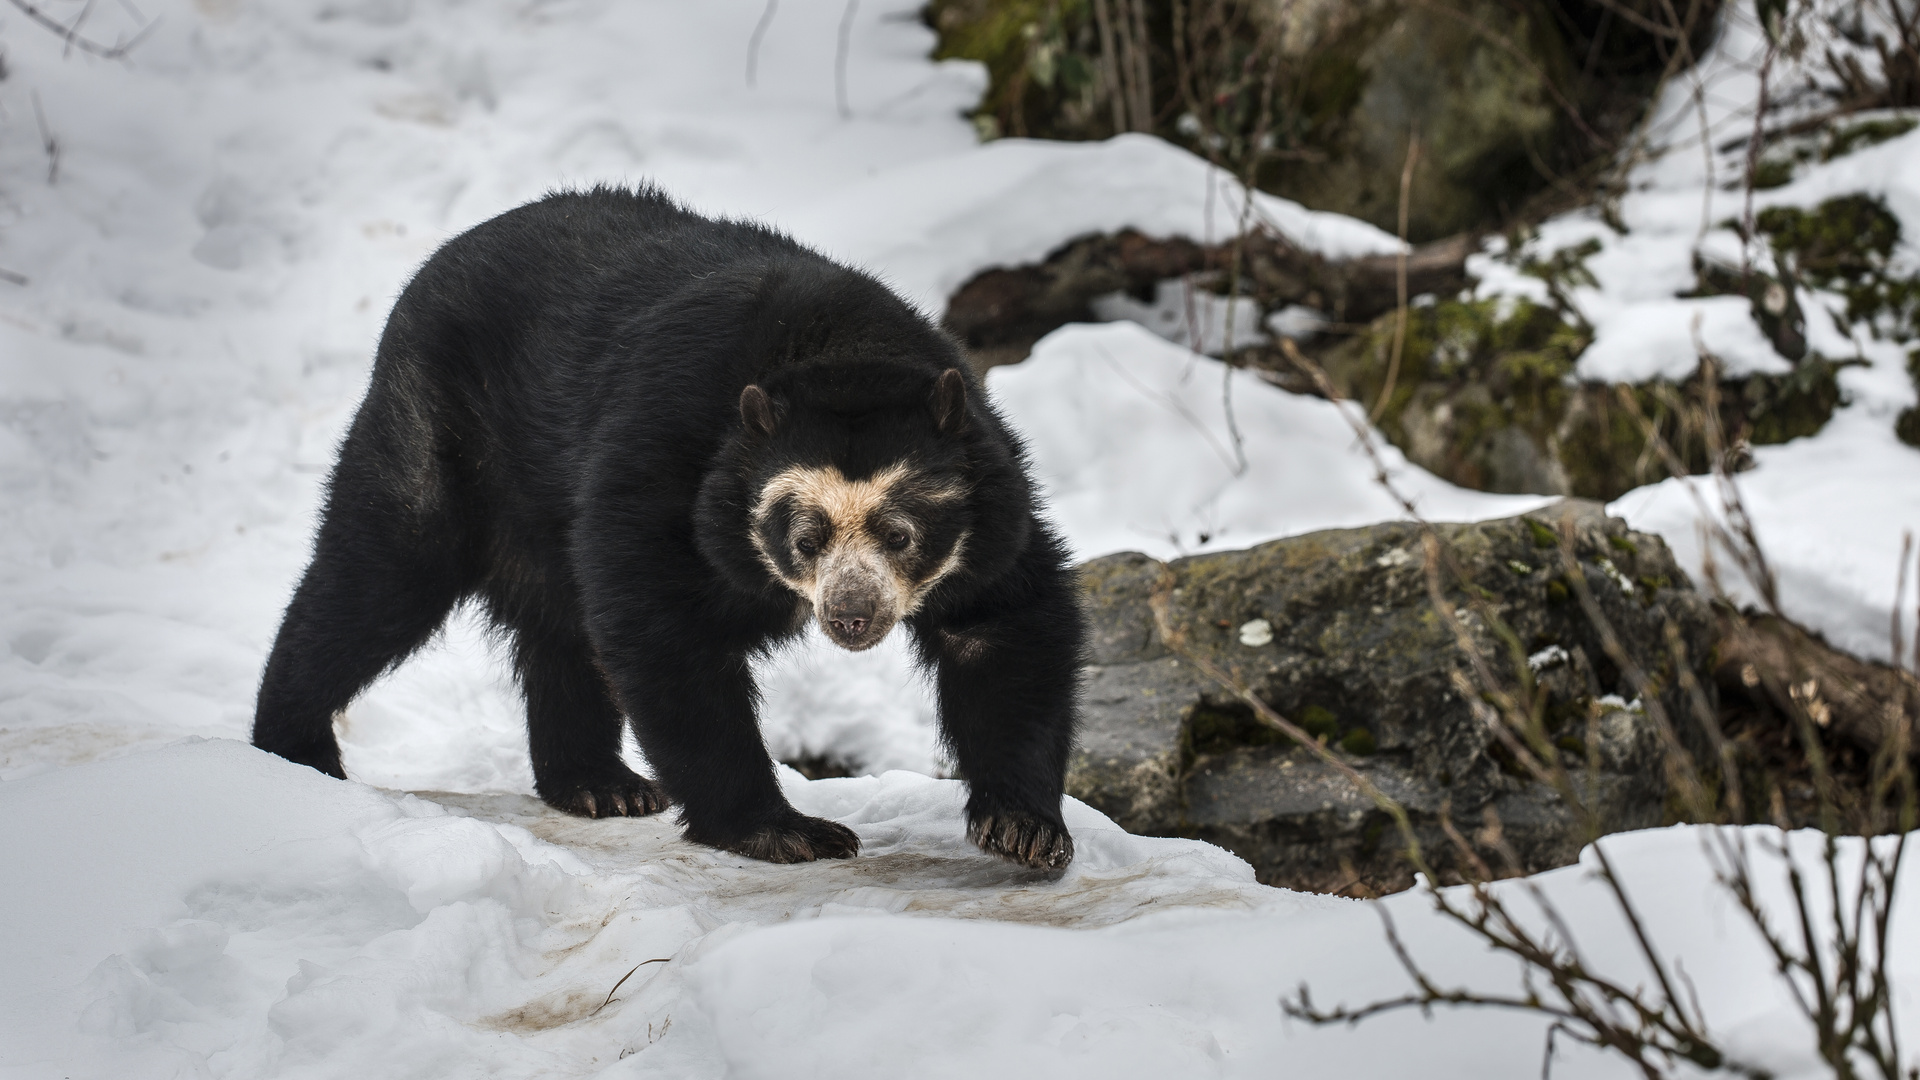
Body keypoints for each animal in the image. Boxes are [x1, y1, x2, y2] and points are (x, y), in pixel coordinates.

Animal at [255, 187, 1090, 864]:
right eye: (805, 536)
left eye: (900, 533)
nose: (853, 616)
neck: (834, 349)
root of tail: (438, 260)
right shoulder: (664, 459)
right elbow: (663, 630)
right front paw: (787, 830)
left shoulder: (990, 495)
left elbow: (1003, 626)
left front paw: (1023, 828)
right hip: (439, 427)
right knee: (382, 577)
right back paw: (294, 751)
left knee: (558, 625)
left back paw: (598, 784)